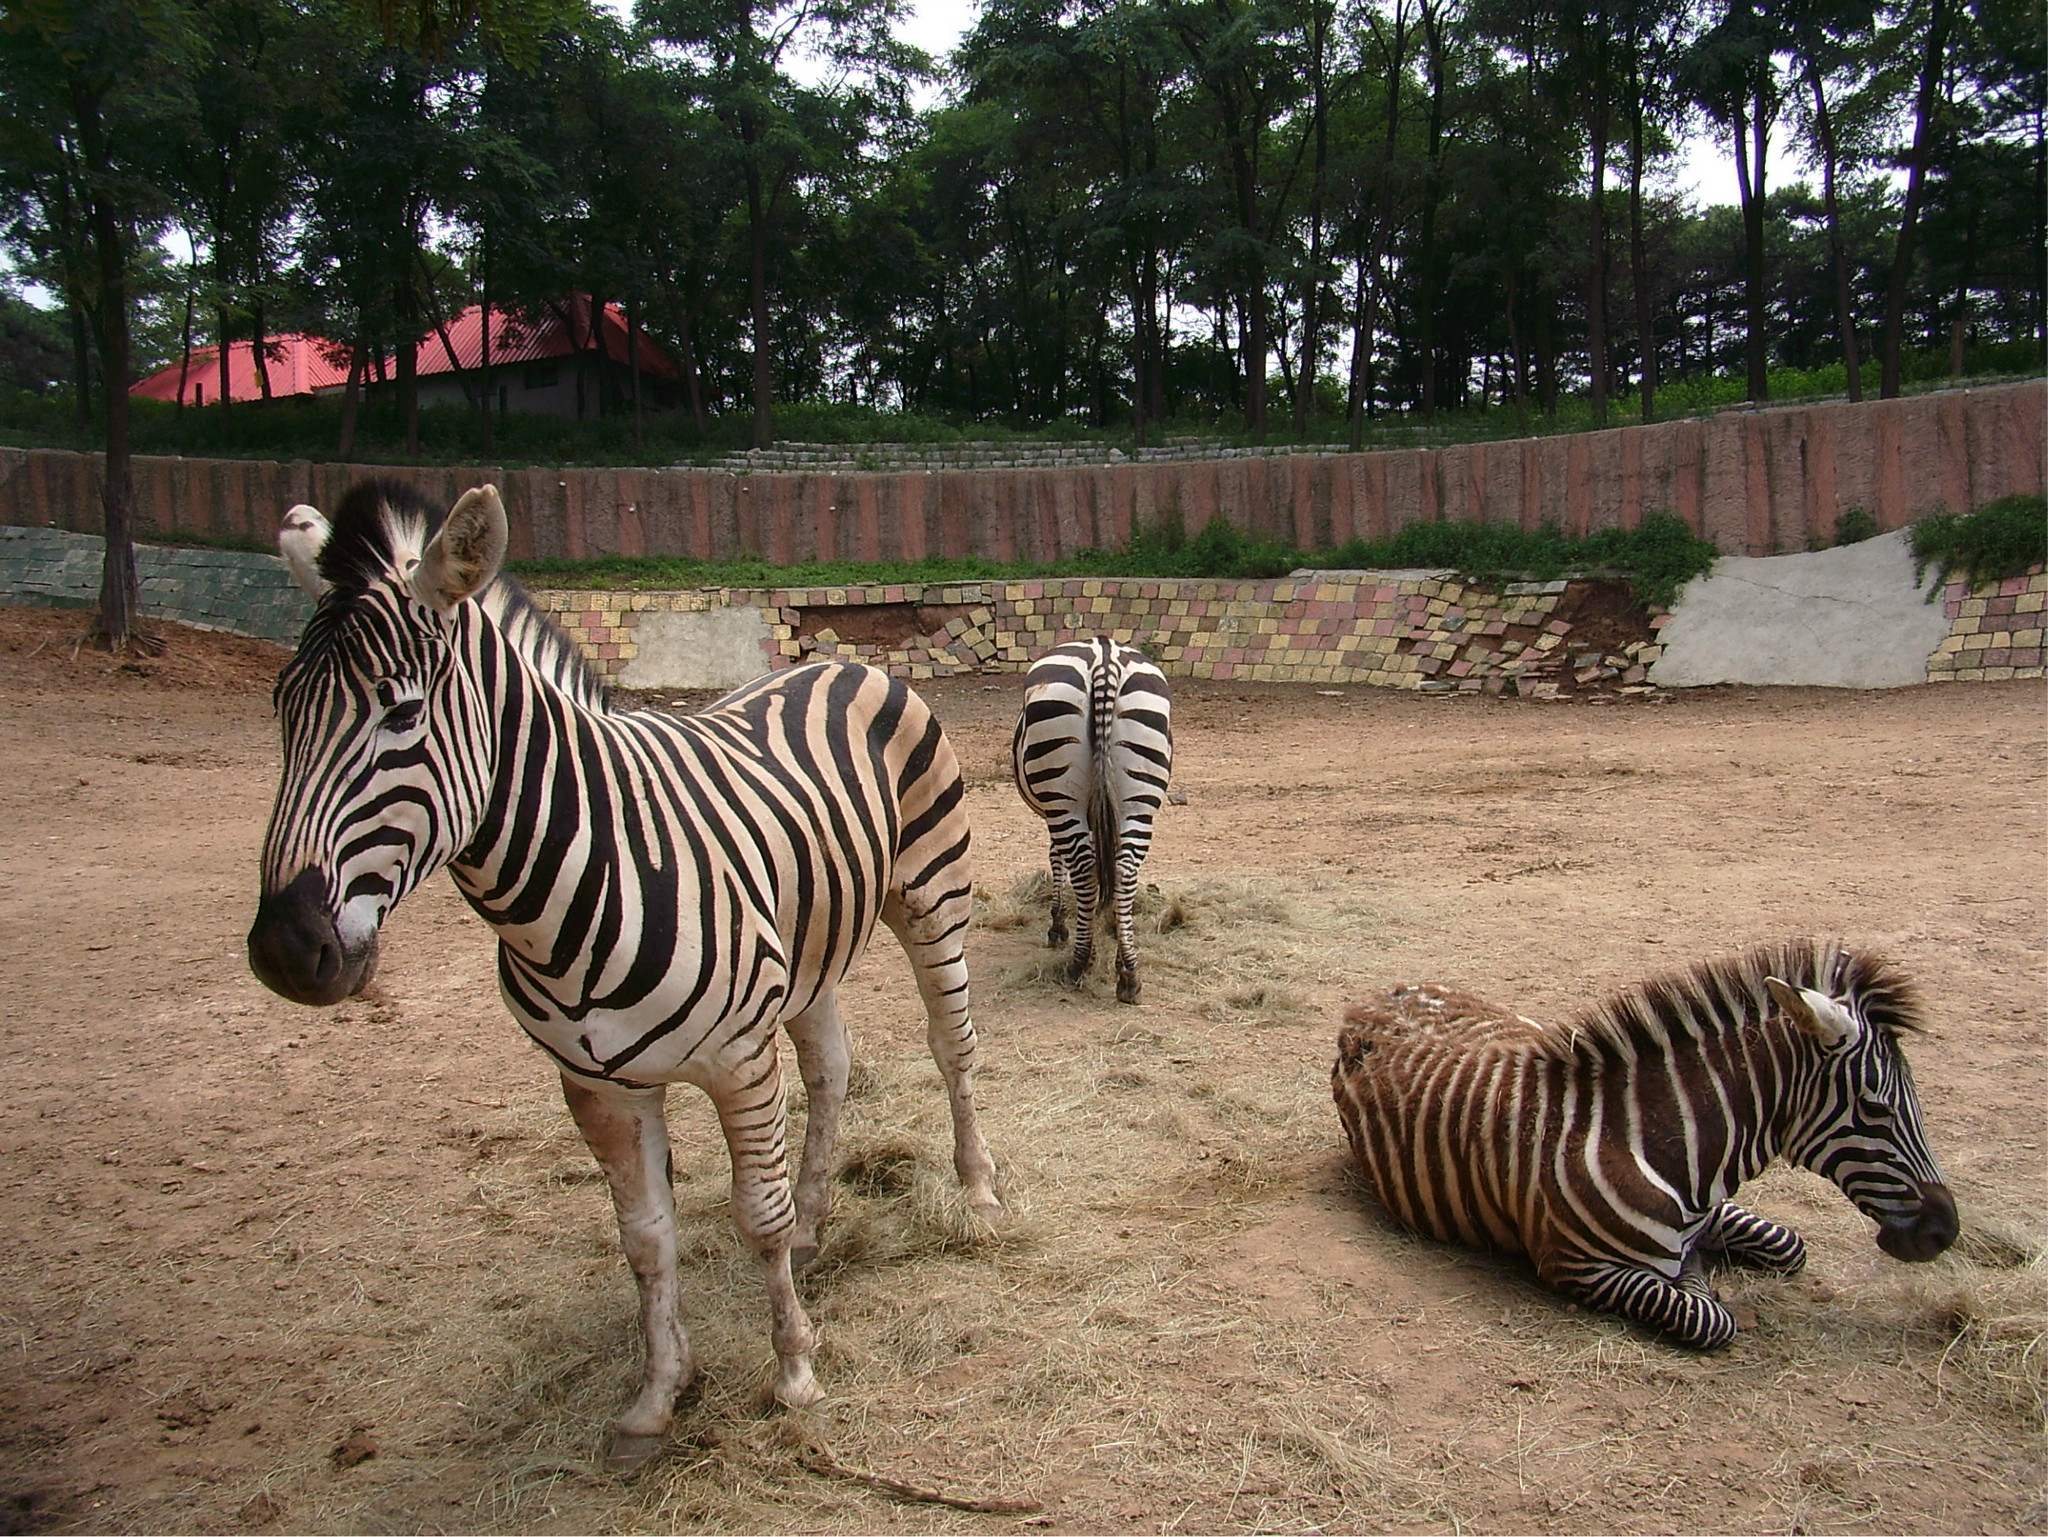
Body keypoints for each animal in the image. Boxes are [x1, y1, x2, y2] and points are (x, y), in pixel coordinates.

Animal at [247, 479, 999, 1467]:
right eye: (281, 708)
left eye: (400, 713)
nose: (284, 950)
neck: (572, 878)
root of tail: (845, 665)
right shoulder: (595, 1083)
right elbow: (644, 1238)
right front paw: (656, 1395)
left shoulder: (736, 1060)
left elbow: (753, 1213)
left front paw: (794, 1371)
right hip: (806, 948)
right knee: (831, 1066)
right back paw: (818, 1215)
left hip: (931, 894)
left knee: (952, 1045)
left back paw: (977, 1187)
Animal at [1007, 643, 1171, 1004]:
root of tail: (1104, 655)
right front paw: (1106, 917)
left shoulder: (1057, 813)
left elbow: (1058, 859)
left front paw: (1059, 924)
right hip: (1139, 798)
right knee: (1124, 870)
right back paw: (1128, 972)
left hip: (1062, 799)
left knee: (1083, 869)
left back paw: (1080, 961)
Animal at [1335, 938, 1957, 1344]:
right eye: (1875, 1109)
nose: (1944, 1232)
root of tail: (1377, 999)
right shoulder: (1580, 1269)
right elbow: (1710, 1319)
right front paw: (1704, 1283)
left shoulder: (1715, 1210)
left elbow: (1790, 1246)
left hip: (1522, 1024)